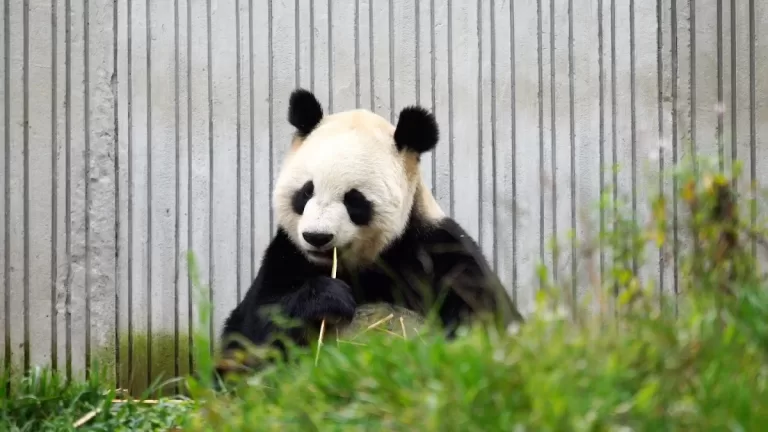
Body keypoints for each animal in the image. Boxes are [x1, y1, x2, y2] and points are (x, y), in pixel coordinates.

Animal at [216, 88, 523, 376]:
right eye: (306, 191)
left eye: (354, 200)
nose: (317, 237)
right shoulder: (287, 256)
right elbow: (246, 333)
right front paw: (327, 298)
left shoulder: (438, 250)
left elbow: (488, 319)